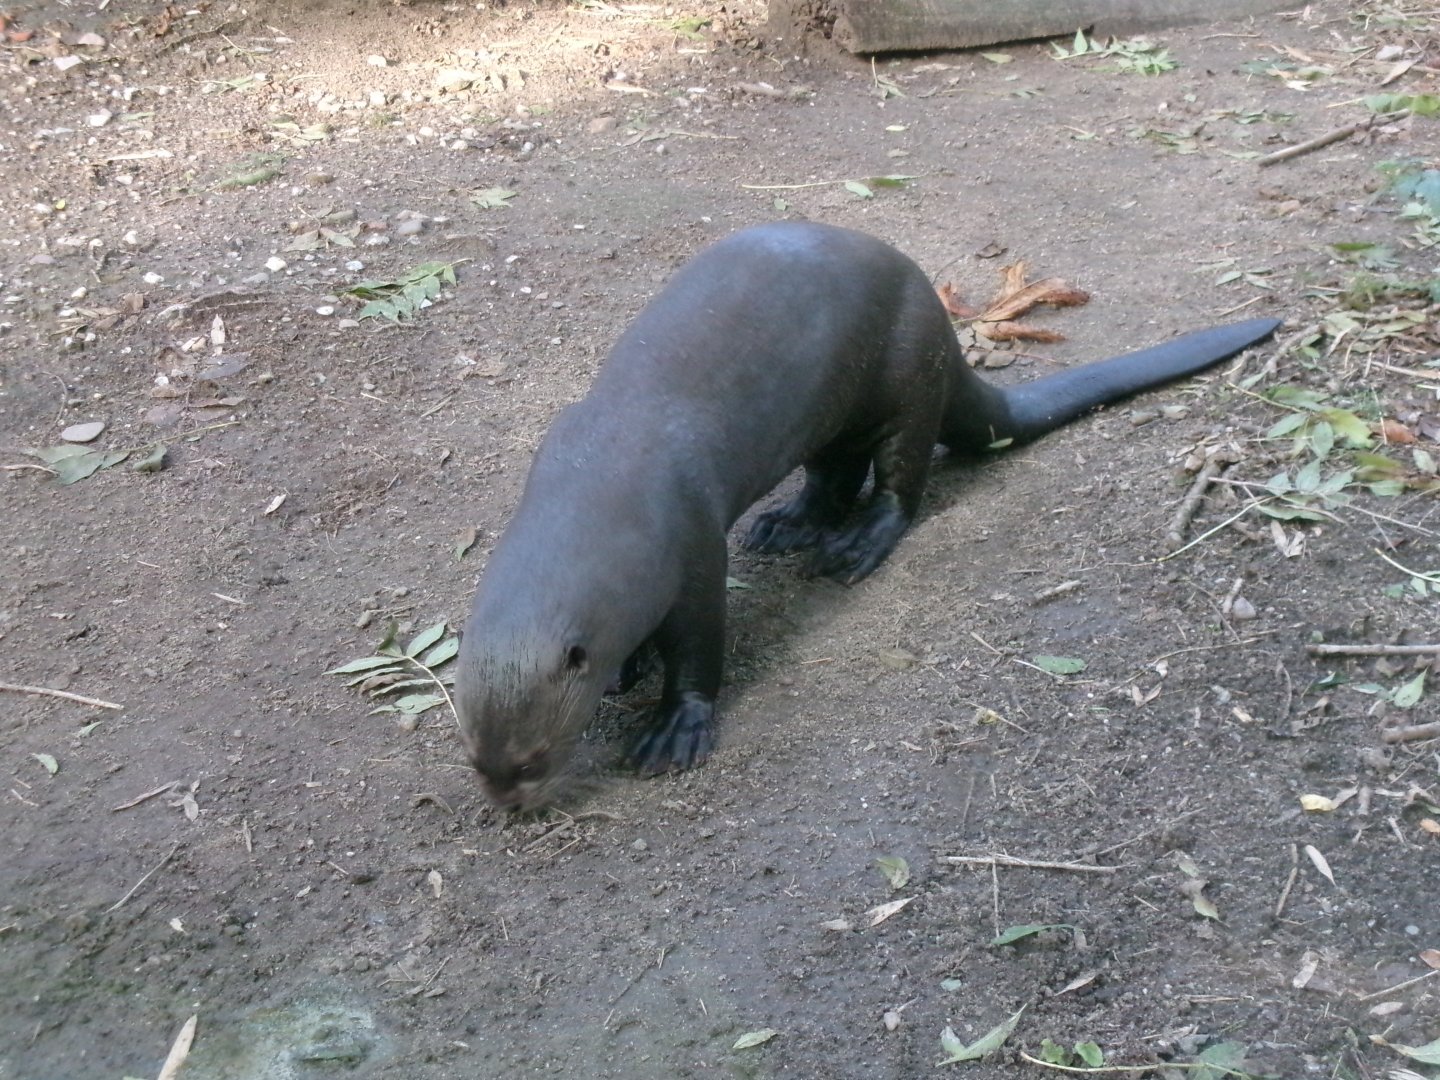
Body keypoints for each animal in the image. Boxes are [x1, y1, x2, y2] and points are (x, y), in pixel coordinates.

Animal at [455, 222, 1280, 808]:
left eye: (529, 759)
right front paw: (627, 669)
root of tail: (944, 323)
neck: (603, 480)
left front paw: (673, 728)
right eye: (474, 754)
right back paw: (788, 525)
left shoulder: (691, 543)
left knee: (900, 480)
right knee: (833, 472)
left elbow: (699, 645)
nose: (507, 802)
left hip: (907, 376)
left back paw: (854, 546)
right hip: (832, 411)